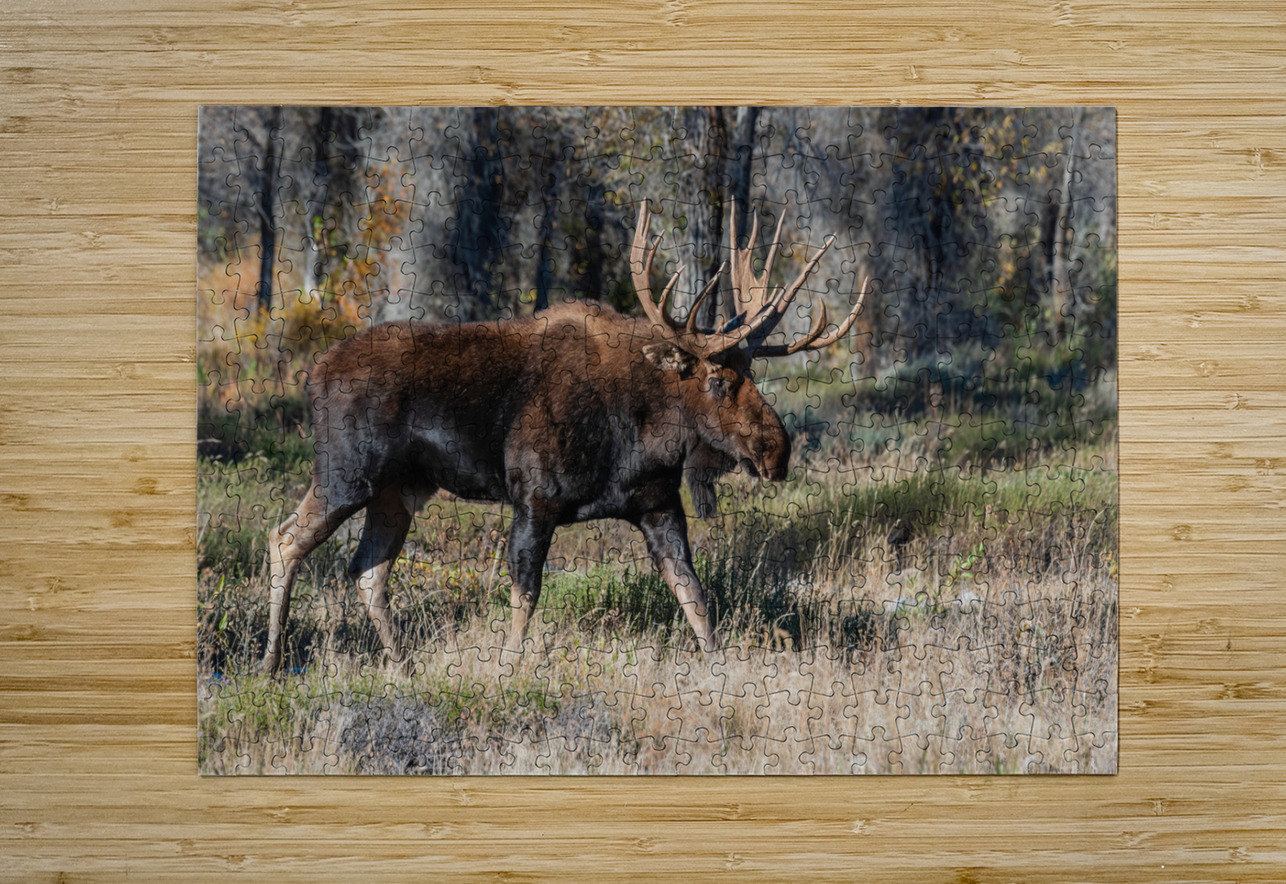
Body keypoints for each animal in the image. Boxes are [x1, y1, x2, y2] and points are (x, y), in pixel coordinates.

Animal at [261, 201, 867, 672]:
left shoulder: (657, 505)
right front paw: (505, 672)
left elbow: (695, 596)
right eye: (717, 381)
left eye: (754, 375)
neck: (643, 434)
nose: (777, 452)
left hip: (398, 491)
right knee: (284, 539)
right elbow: (524, 599)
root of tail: (315, 374)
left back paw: (401, 664)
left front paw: (719, 670)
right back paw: (270, 662)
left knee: (367, 570)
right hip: (347, 475)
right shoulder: (535, 499)